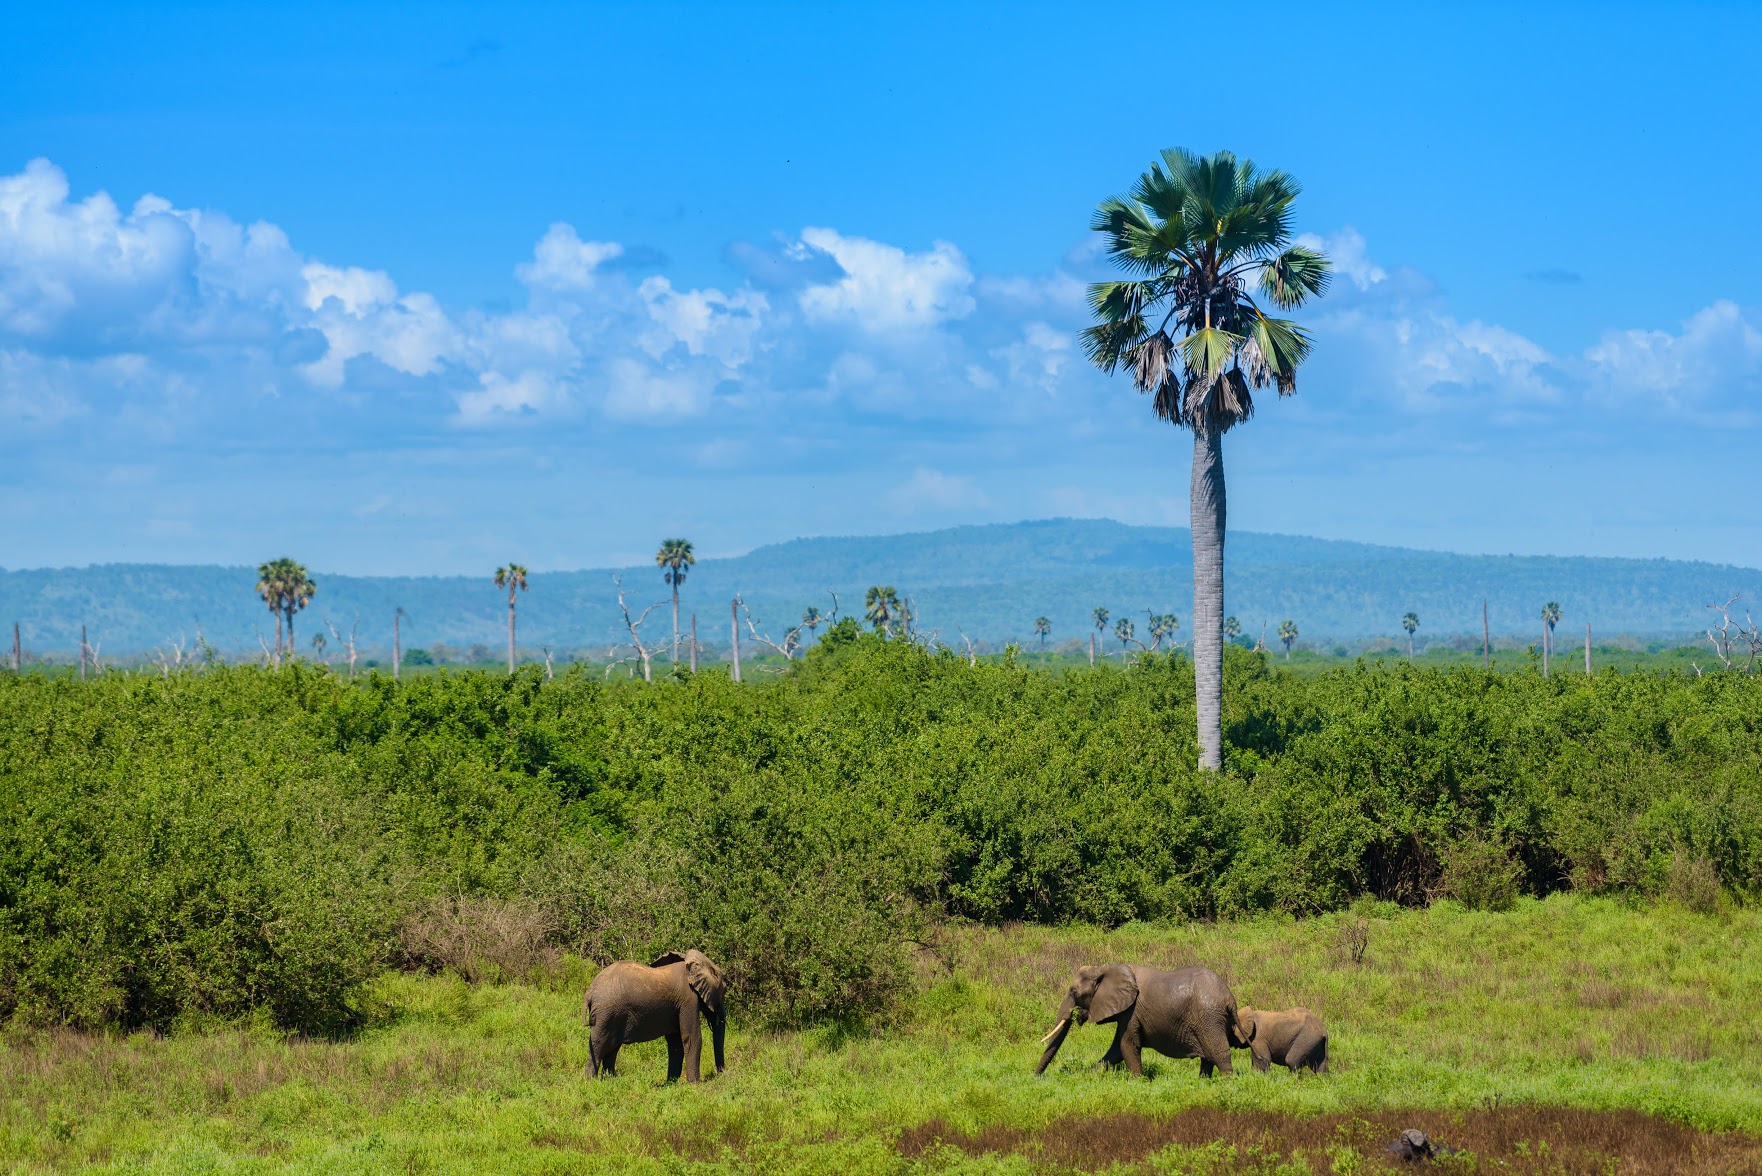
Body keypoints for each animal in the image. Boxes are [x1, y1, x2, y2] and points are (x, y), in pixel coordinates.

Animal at [1029, 966, 1240, 1079]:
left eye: (1074, 992)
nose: (1036, 1077)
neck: (1104, 968)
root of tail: (1230, 998)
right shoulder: (1126, 1013)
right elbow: (1115, 1050)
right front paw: (1091, 1075)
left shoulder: (1131, 1012)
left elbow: (1126, 1046)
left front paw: (1139, 1082)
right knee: (1208, 1057)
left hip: (1210, 1018)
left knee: (1218, 1052)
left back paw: (1226, 1082)